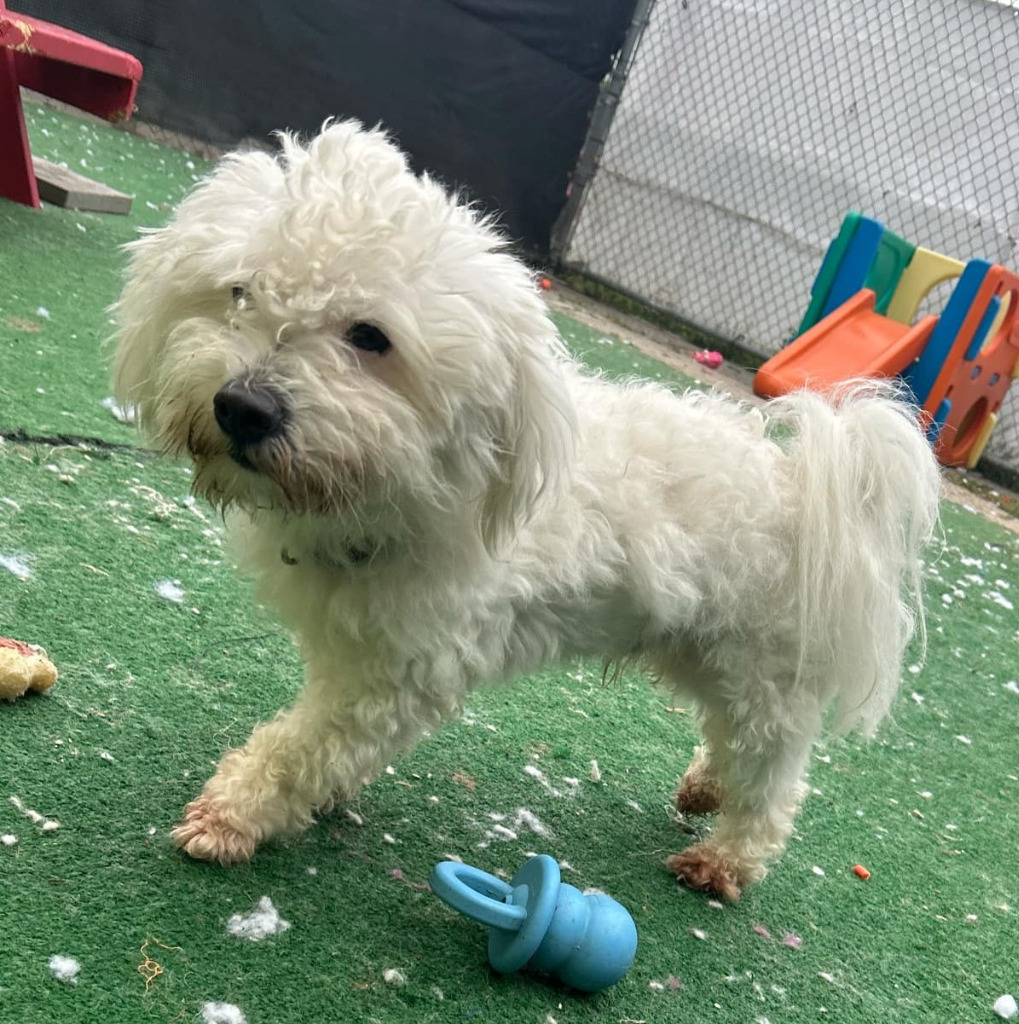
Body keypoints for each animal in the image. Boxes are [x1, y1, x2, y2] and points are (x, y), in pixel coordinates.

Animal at [111, 123, 942, 901]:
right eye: (238, 293)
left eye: (371, 336)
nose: (242, 407)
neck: (401, 489)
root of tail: (801, 483)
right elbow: (327, 746)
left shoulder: (394, 676)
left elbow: (304, 746)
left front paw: (238, 811)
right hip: (699, 645)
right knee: (732, 741)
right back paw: (707, 787)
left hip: (765, 673)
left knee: (772, 776)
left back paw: (725, 858)